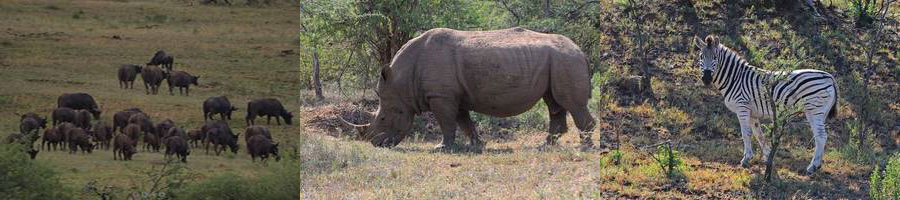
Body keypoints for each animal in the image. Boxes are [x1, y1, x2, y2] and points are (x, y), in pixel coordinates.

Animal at [342, 27, 596, 151]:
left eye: (384, 118)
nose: (376, 144)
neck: (403, 81)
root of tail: (582, 52)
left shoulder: (441, 95)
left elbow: (447, 123)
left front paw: (441, 148)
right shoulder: (454, 95)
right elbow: (464, 121)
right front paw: (477, 145)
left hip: (566, 60)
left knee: (571, 103)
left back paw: (585, 148)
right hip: (558, 61)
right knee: (554, 103)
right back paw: (546, 146)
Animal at [696, 34, 836, 173]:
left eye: (715, 57)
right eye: (701, 57)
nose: (706, 79)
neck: (735, 79)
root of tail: (829, 77)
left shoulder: (742, 108)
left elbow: (746, 133)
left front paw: (746, 159)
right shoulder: (752, 113)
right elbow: (758, 135)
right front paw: (768, 157)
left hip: (814, 110)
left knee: (821, 136)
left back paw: (813, 166)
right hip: (821, 112)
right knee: (821, 136)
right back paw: (817, 164)